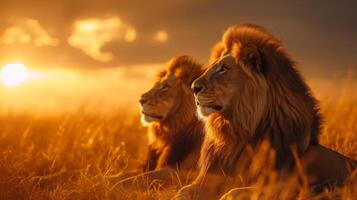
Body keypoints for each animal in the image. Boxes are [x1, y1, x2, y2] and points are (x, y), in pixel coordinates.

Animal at [117, 55, 204, 188]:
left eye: (165, 87)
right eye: (157, 84)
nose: (140, 100)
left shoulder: (177, 173)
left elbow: (133, 179)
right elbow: (124, 174)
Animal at [175, 23, 356, 198]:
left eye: (223, 68)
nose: (193, 87)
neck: (236, 131)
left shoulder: (287, 185)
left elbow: (236, 192)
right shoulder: (211, 176)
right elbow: (183, 191)